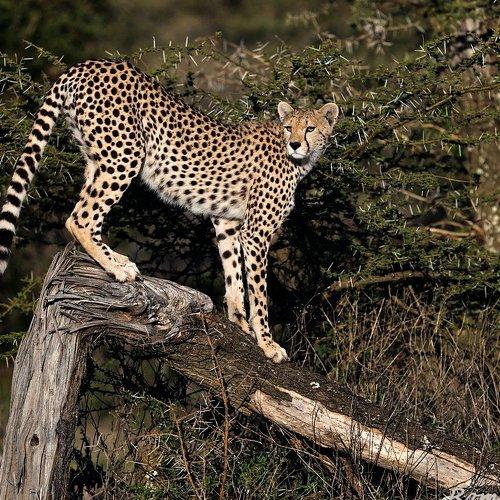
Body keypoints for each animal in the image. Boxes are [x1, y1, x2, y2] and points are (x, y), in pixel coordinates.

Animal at [0, 59, 339, 363]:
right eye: (289, 128)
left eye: (310, 128)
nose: (295, 144)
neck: (298, 160)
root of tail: (88, 64)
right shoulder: (256, 233)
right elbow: (258, 292)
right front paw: (267, 343)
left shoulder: (228, 221)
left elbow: (234, 275)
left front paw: (239, 321)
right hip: (125, 155)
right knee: (80, 218)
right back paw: (118, 269)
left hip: (98, 159)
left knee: (87, 212)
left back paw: (114, 259)